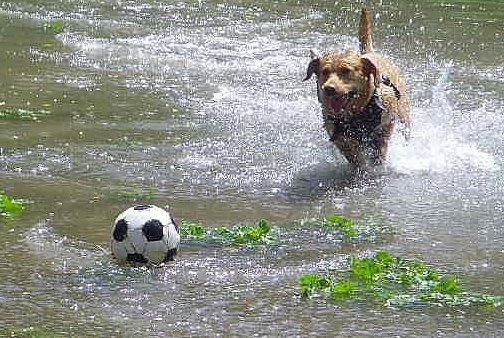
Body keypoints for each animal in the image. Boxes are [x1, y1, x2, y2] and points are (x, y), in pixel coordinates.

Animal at [304, 7, 410, 166]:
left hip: (404, 116)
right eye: (325, 72)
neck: (358, 112)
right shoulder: (338, 135)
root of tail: (369, 53)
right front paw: (360, 166)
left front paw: (377, 163)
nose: (328, 88)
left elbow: (380, 146)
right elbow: (353, 155)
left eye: (346, 71)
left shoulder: (386, 125)